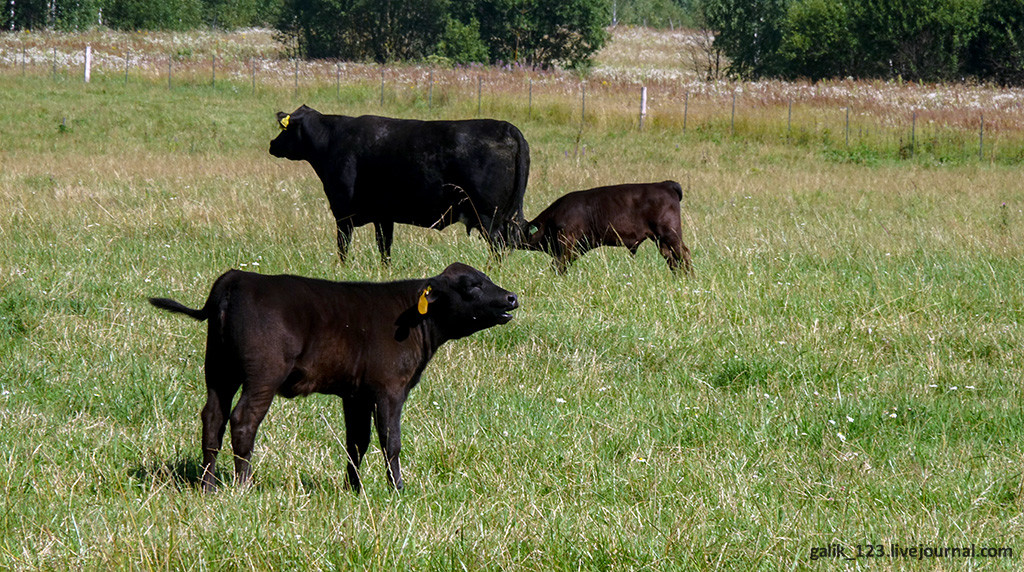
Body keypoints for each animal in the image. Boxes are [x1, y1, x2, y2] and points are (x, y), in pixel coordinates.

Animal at [149, 264, 520, 493]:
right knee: (243, 421)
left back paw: (208, 486)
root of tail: (238, 277)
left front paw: (353, 489)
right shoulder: (390, 388)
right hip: (262, 375)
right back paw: (243, 485)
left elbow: (357, 441)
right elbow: (391, 441)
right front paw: (398, 489)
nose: (511, 297)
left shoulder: (355, 394)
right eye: (472, 285)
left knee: (213, 418)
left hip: (218, 370)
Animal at [268, 105, 532, 264]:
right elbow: (385, 248)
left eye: (285, 129)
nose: (272, 144)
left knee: (498, 248)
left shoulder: (342, 212)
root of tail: (506, 127)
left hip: (489, 216)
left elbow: (343, 247)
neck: (332, 141)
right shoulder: (384, 216)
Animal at [524, 181, 692, 276]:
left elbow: (558, 265)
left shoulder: (567, 242)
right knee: (672, 259)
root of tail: (665, 184)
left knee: (684, 254)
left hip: (671, 234)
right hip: (660, 239)